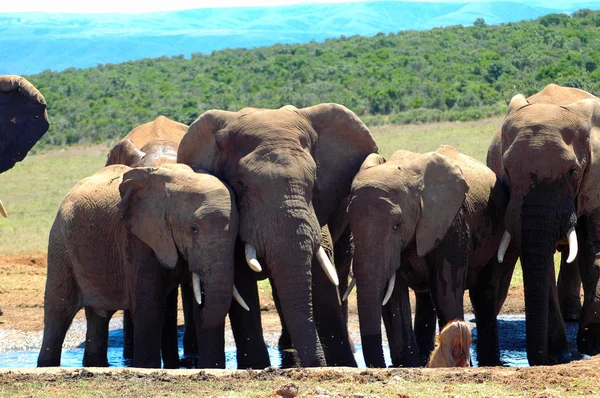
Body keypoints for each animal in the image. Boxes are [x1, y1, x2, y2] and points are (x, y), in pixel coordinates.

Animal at [35, 163, 239, 368]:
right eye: (193, 229)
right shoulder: (138, 239)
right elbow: (150, 305)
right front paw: (147, 367)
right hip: (60, 245)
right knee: (58, 310)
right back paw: (47, 365)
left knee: (99, 316)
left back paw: (96, 364)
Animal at [177, 103, 380, 366]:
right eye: (242, 185)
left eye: (313, 185)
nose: (315, 365)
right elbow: (240, 278)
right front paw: (257, 367)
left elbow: (321, 271)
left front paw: (342, 364)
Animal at [490, 83, 600, 364]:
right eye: (506, 170)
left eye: (573, 171)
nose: (539, 358)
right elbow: (541, 261)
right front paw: (560, 354)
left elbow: (594, 250)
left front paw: (591, 345)